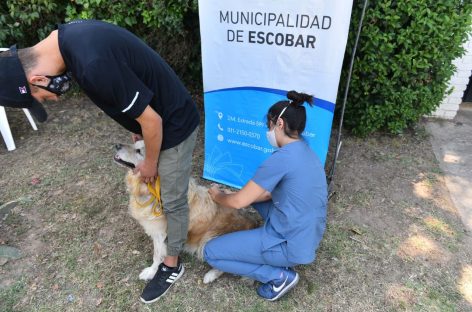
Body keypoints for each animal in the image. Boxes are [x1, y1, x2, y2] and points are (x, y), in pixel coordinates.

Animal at [114, 141, 260, 282]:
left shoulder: (160, 234)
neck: (150, 189)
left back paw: (211, 275)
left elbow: (157, 255)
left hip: (208, 240)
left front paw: (151, 271)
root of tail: (254, 224)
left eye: (139, 151)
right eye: (134, 143)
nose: (117, 145)